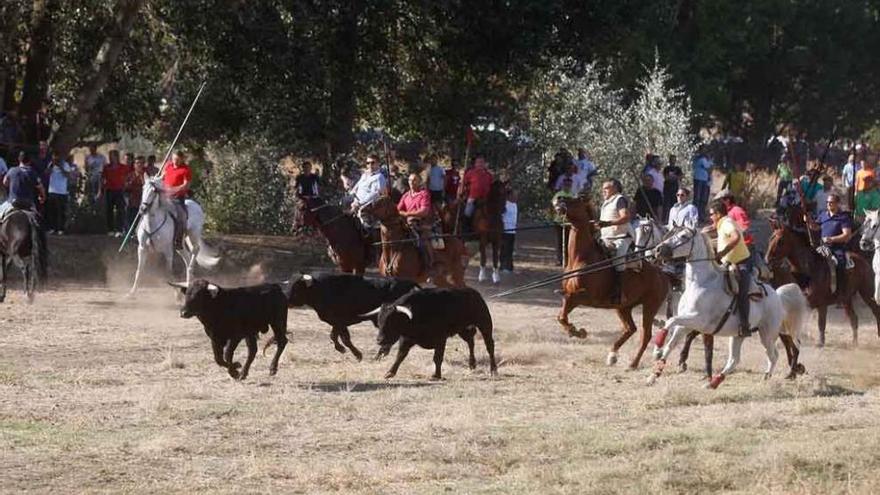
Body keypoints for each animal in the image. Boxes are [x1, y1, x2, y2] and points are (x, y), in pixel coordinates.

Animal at [552, 196, 672, 370]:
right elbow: (561, 315)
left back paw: (633, 363)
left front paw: (578, 331)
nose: (558, 198)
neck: (581, 259)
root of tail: (662, 274)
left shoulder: (585, 297)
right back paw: (612, 355)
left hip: (650, 306)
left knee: (645, 334)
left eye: (577, 200)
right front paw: (574, 330)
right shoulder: (570, 296)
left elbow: (565, 309)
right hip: (623, 307)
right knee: (630, 329)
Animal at [648, 227, 808, 390]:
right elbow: (671, 342)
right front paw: (654, 373)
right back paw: (713, 383)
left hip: (767, 334)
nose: (657, 250)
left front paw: (657, 348)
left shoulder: (698, 320)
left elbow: (670, 322)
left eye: (684, 236)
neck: (702, 283)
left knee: (773, 355)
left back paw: (766, 378)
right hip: (738, 336)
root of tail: (777, 296)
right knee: (734, 360)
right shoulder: (686, 324)